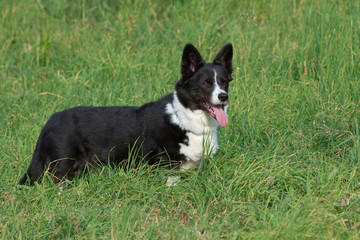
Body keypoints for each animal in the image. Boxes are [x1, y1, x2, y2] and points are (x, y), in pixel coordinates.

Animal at [19, 43, 233, 186]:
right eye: (206, 83)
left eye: (224, 82)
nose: (224, 97)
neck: (186, 120)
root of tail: (50, 121)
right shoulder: (165, 168)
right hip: (61, 166)